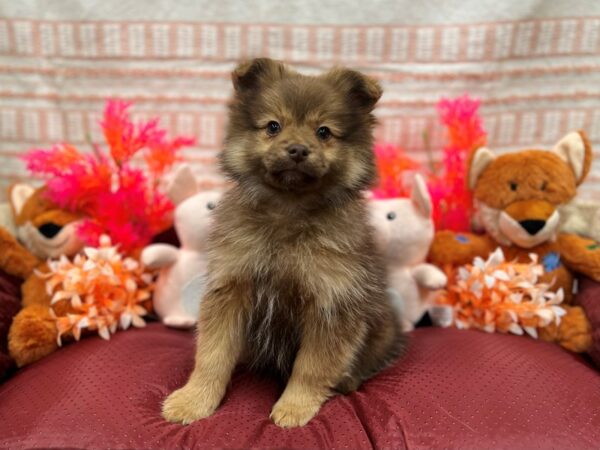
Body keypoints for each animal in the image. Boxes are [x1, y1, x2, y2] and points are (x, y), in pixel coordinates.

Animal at [162, 58, 406, 428]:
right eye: (273, 126)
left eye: (324, 132)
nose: (297, 150)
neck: (288, 211)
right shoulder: (231, 289)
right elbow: (212, 355)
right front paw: (194, 400)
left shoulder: (331, 304)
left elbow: (311, 366)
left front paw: (295, 407)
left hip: (380, 329)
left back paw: (348, 379)